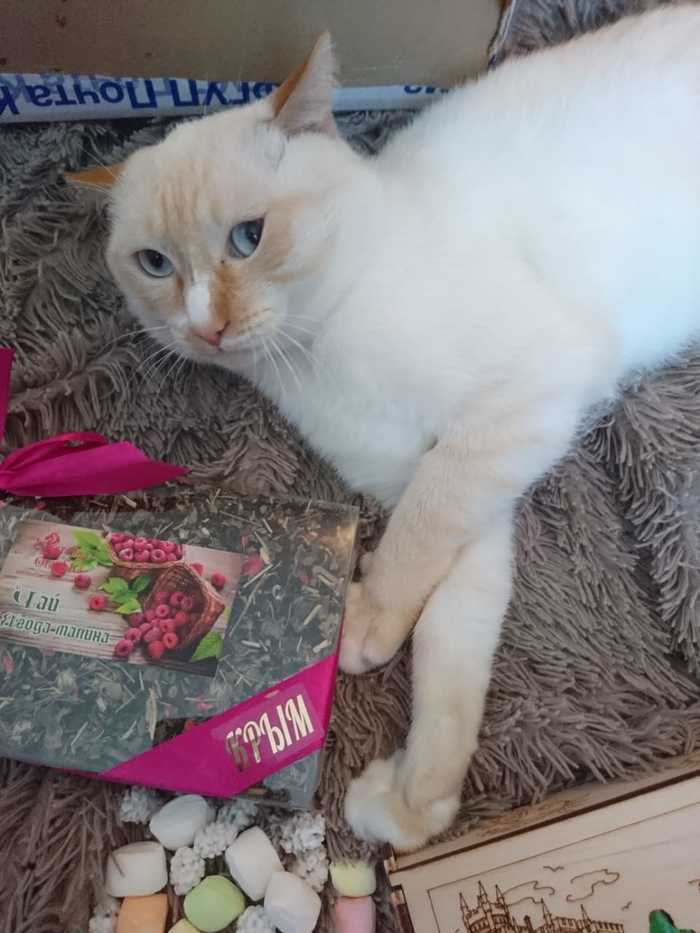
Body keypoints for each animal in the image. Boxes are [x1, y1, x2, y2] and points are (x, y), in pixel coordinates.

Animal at [68, 5, 700, 851]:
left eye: (247, 238)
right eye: (156, 264)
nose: (204, 327)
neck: (318, 357)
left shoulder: (514, 410)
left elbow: (419, 540)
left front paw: (362, 623)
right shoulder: (450, 482)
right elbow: (449, 633)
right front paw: (417, 799)